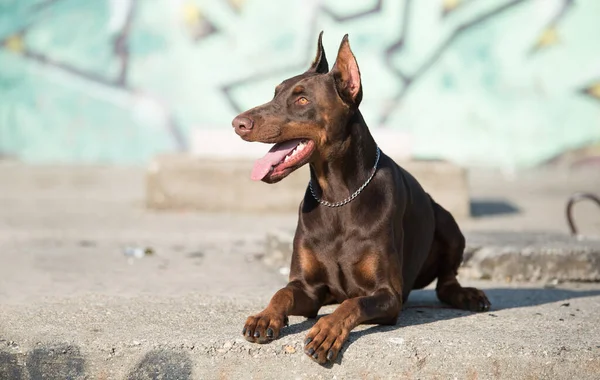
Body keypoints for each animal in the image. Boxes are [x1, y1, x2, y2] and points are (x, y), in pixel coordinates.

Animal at [232, 32, 490, 366]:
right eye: (275, 93)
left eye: (302, 100)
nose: (238, 123)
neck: (337, 197)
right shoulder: (309, 289)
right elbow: (283, 292)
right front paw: (265, 316)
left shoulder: (388, 295)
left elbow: (352, 305)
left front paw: (326, 332)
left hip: (448, 223)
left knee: (447, 283)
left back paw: (467, 294)